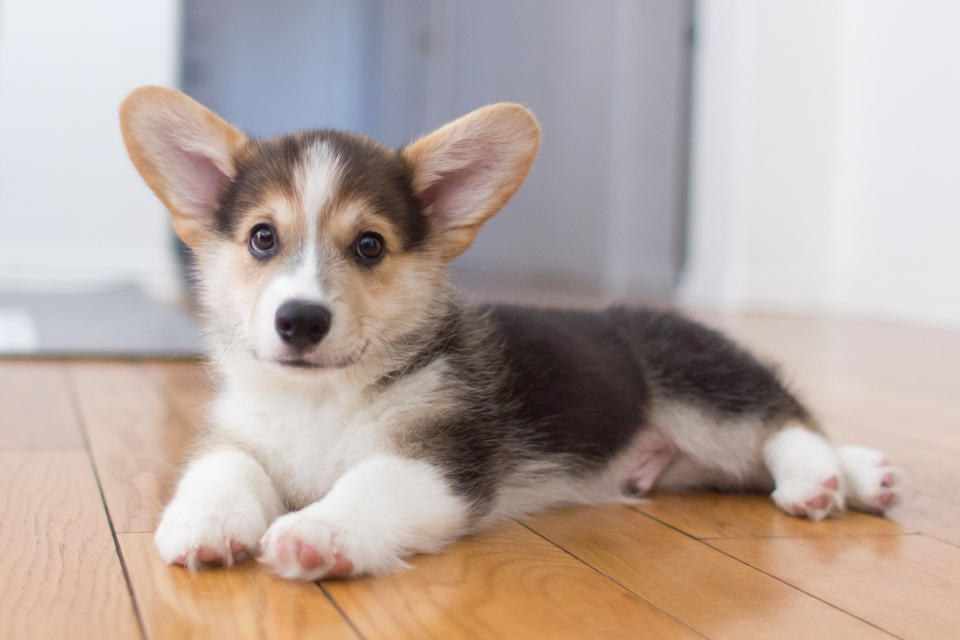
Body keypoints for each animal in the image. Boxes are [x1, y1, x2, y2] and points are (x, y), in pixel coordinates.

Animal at [118, 85, 900, 580]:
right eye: (262, 238)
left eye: (369, 246)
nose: (301, 320)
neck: (323, 399)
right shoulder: (240, 436)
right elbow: (222, 471)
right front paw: (206, 524)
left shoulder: (439, 462)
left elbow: (368, 487)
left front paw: (318, 532)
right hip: (692, 458)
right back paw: (867, 474)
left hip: (699, 395)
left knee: (783, 420)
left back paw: (821, 478)